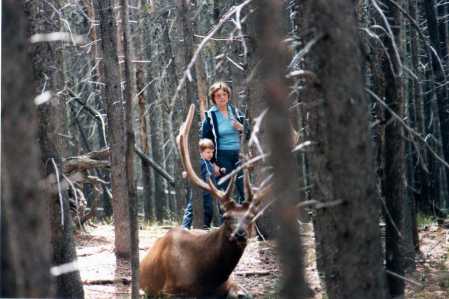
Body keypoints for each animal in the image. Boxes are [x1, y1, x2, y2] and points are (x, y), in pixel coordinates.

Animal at [138, 105, 270, 298]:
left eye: (251, 216)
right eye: (226, 217)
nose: (240, 233)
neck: (207, 276)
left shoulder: (231, 282)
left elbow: (244, 294)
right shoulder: (169, 289)